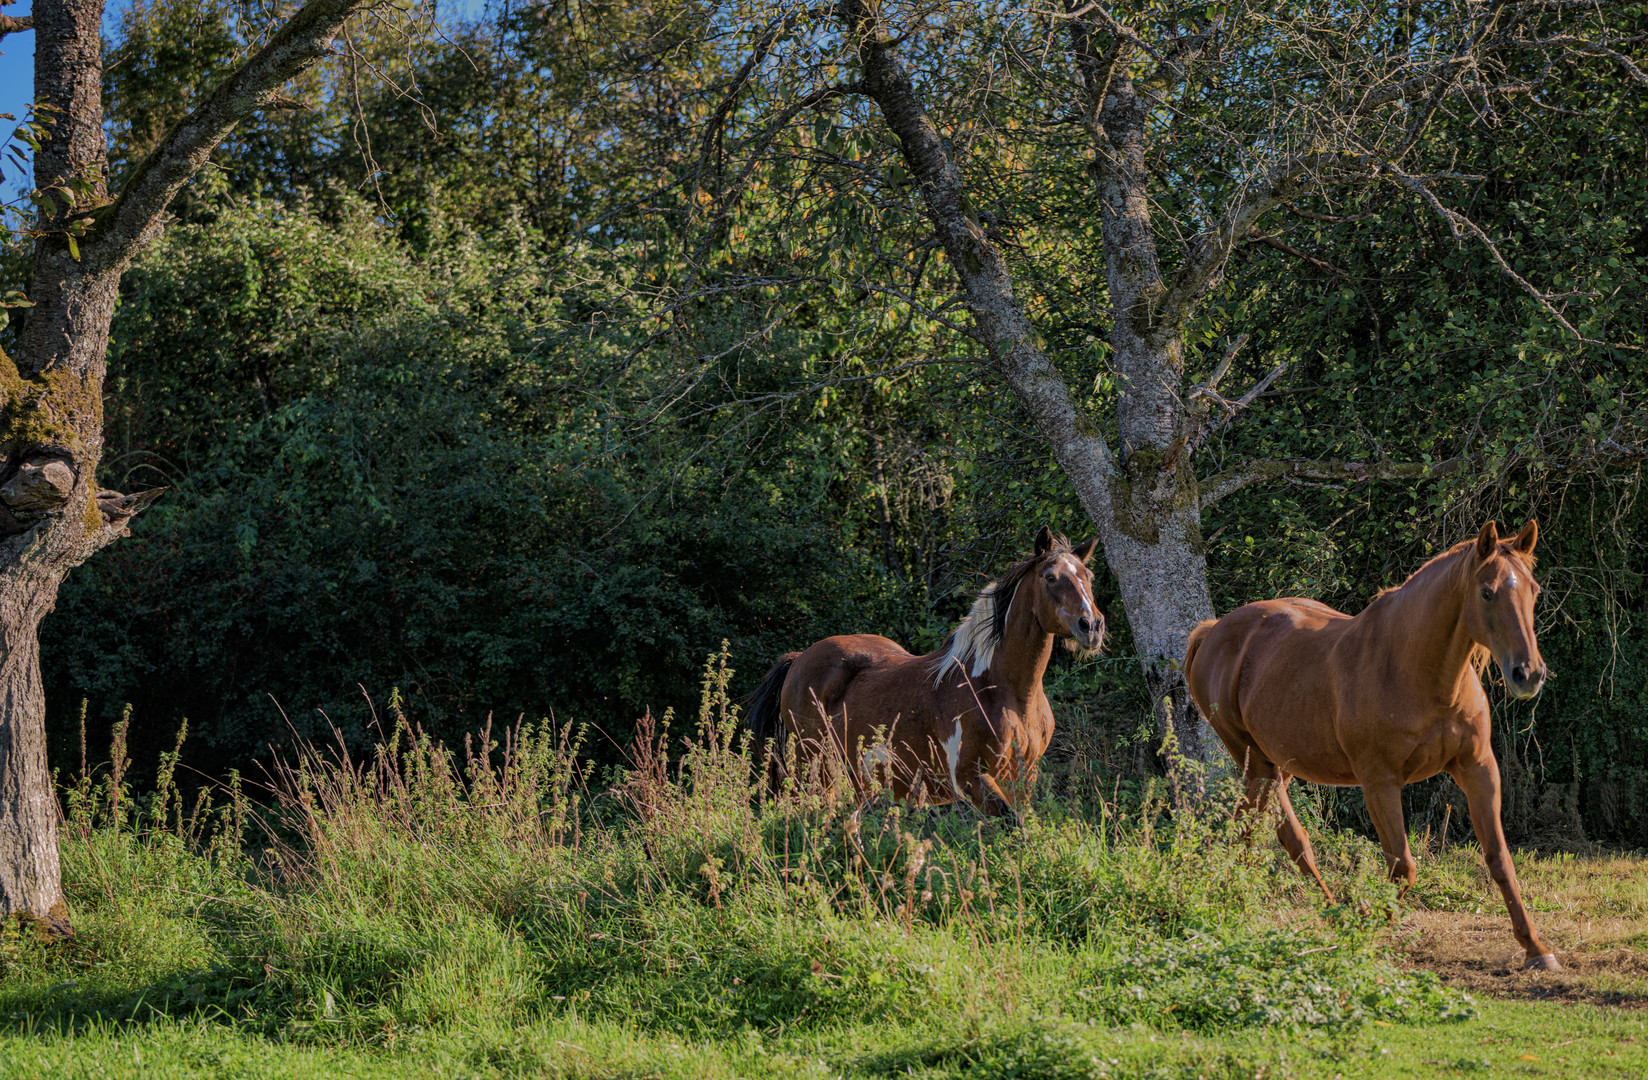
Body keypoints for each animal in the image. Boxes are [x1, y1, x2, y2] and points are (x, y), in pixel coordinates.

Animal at [751, 527, 1107, 814]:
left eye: (1088, 577)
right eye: (1050, 576)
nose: (1091, 626)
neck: (1007, 693)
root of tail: (799, 659)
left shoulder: (1023, 777)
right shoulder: (970, 778)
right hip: (812, 765)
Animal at [1186, 524, 1555, 969]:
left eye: (1534, 590)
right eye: (1487, 592)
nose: (1528, 674)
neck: (1417, 672)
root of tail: (1213, 631)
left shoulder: (1478, 768)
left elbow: (1500, 860)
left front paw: (1536, 947)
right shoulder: (1380, 782)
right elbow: (1403, 867)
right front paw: (1366, 923)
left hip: (1278, 765)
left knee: (1255, 829)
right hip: (1257, 762)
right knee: (1286, 837)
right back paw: (1315, 910)